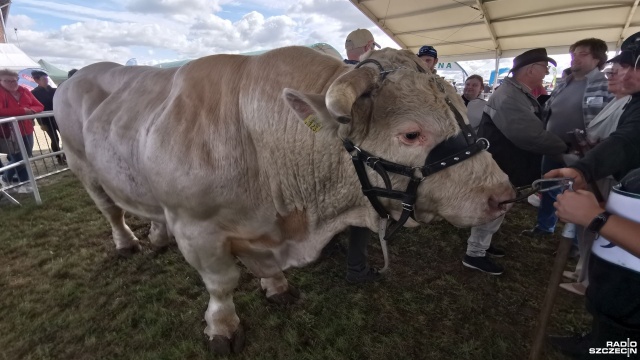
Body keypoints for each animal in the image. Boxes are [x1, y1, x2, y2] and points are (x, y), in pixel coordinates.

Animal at [53, 46, 516, 352]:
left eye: (463, 110)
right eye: (411, 134)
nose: (504, 196)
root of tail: (78, 75)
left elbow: (265, 272)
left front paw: (276, 287)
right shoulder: (197, 228)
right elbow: (221, 283)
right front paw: (222, 327)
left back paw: (156, 233)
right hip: (83, 167)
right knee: (111, 210)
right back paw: (126, 243)